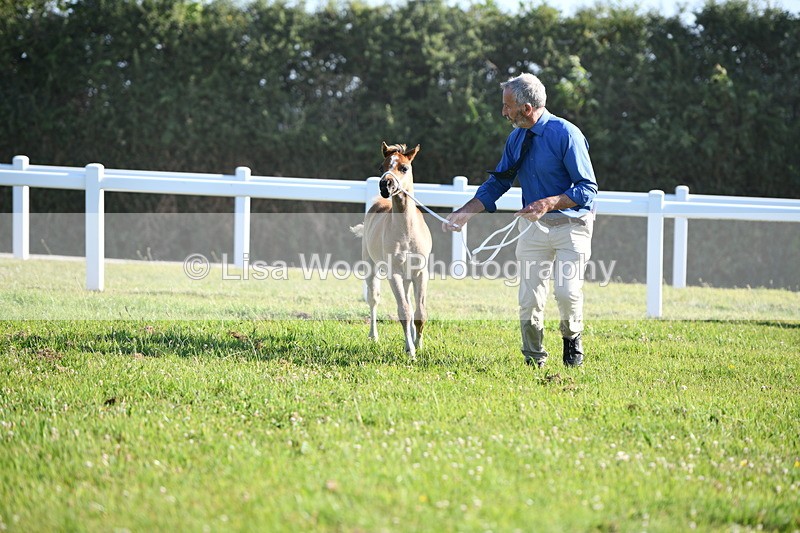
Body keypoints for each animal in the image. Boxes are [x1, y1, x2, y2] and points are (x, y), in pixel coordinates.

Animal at [350, 142, 433, 358]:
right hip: (372, 269)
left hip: (407, 277)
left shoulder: (421, 273)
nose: (385, 185)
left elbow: (419, 312)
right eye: (381, 167)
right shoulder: (393, 273)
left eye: (404, 168)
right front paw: (411, 351)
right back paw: (374, 336)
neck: (407, 233)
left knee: (410, 304)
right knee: (373, 300)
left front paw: (418, 345)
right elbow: (403, 312)